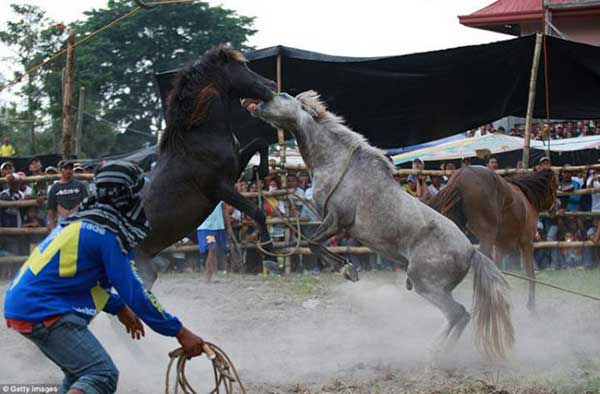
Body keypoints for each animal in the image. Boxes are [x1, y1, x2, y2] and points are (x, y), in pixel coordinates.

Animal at [135, 44, 276, 286]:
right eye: (243, 67)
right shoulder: (220, 188)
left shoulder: (234, 169)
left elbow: (261, 142)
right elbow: (257, 212)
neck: (199, 136)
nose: (272, 85)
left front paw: (260, 171)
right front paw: (271, 257)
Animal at [245, 91, 516, 360]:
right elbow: (315, 243)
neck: (337, 164)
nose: (257, 104)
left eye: (283, 95)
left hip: (427, 284)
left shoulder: (337, 219)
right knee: (459, 315)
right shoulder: (330, 221)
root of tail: (471, 251)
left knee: (458, 313)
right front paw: (345, 267)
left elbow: (312, 242)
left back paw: (436, 351)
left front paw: (347, 269)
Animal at [426, 166, 556, 310]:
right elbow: (530, 273)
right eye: (555, 186)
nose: (554, 209)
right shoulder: (526, 243)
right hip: (486, 238)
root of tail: (460, 176)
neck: (527, 198)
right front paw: (531, 306)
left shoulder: (500, 247)